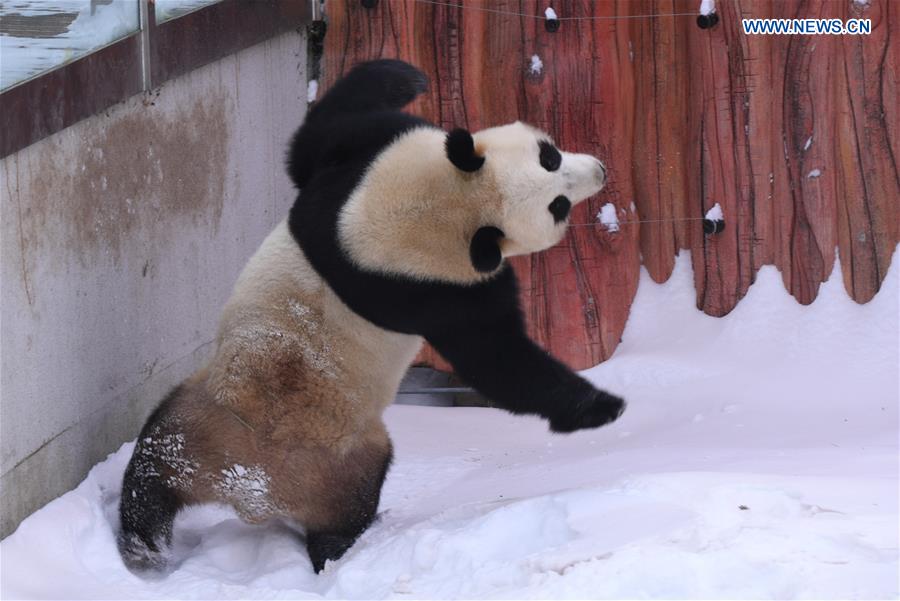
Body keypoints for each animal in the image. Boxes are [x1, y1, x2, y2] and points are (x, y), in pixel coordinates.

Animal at [117, 59, 626, 576]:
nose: (600, 170)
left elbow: (311, 144)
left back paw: (142, 539)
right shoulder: (439, 275)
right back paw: (341, 548)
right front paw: (601, 405)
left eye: (549, 156)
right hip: (337, 462)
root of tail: (249, 489)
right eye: (555, 196)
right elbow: (498, 358)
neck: (452, 203)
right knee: (349, 501)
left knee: (152, 466)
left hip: (199, 424)